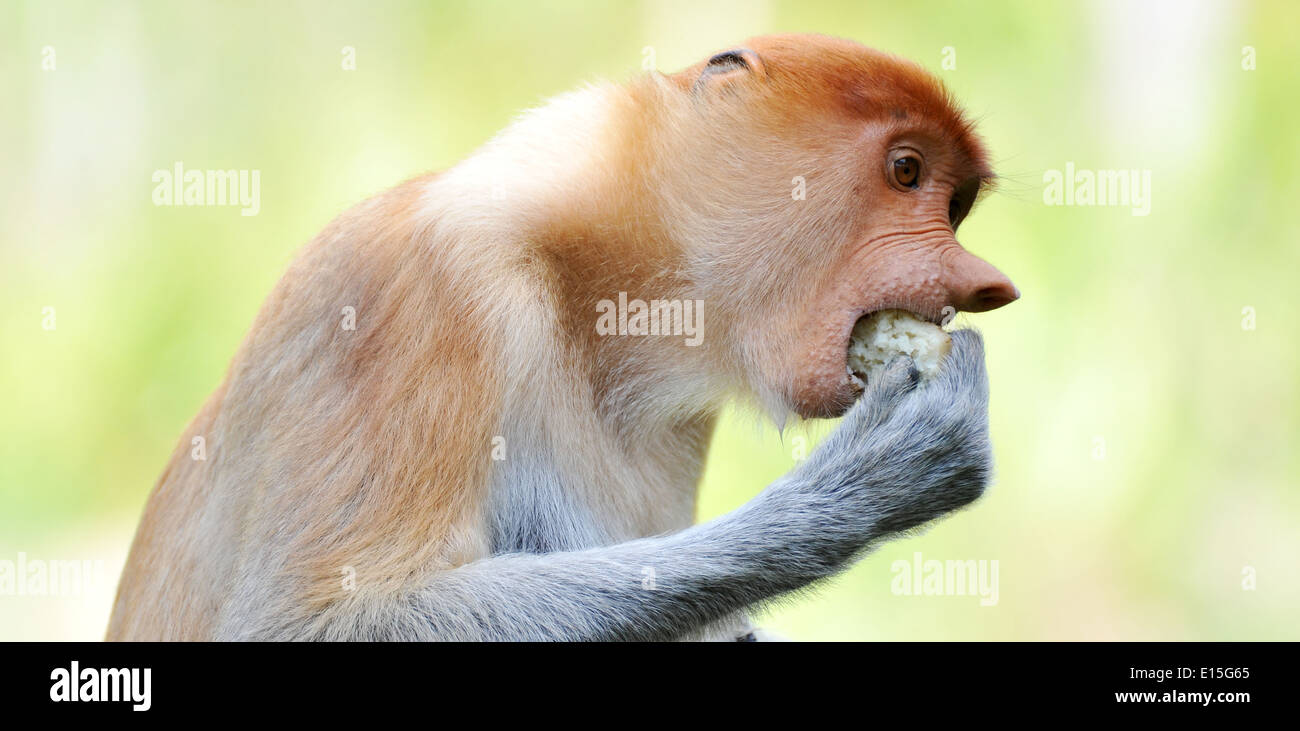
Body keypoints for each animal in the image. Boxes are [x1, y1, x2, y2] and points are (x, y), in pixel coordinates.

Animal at [109, 34, 1013, 637]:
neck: (586, 278)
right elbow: (323, 619)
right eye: (906, 171)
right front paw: (881, 471)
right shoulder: (412, 290)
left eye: (955, 205)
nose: (984, 284)